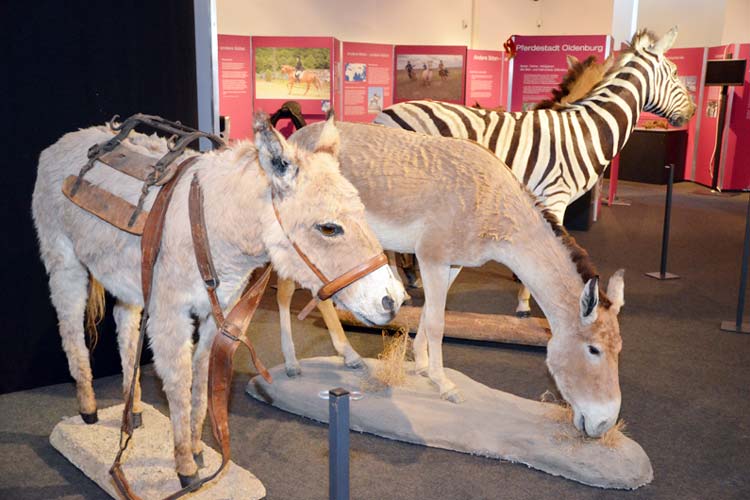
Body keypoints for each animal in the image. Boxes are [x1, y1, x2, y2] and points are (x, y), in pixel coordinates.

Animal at [376, 26, 700, 316]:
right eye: (674, 72)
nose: (694, 110)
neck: (586, 131)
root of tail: (383, 114)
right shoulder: (554, 196)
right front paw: (525, 304)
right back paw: (401, 288)